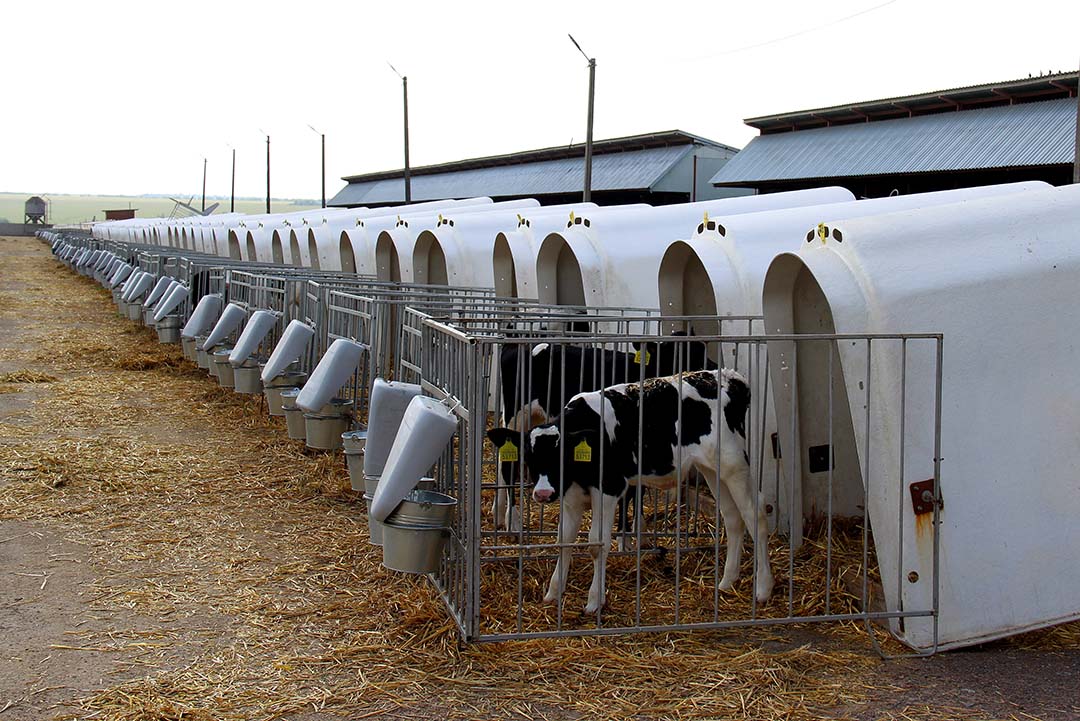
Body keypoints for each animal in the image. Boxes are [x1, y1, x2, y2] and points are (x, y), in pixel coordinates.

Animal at [501, 371, 773, 613]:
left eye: (561, 456)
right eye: (530, 458)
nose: (543, 494)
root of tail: (730, 377)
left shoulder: (608, 489)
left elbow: (596, 544)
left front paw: (594, 601)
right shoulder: (571, 496)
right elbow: (563, 541)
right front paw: (553, 593)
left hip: (734, 463)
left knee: (755, 513)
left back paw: (763, 588)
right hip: (712, 469)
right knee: (733, 517)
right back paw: (727, 582)